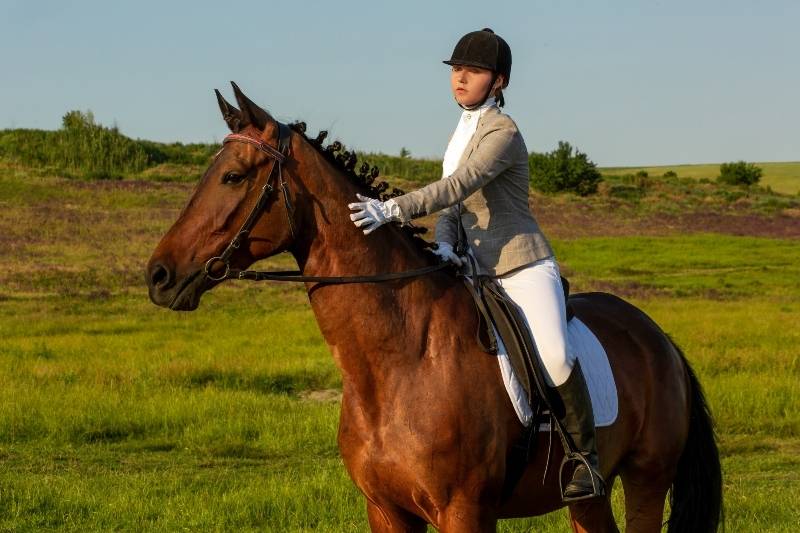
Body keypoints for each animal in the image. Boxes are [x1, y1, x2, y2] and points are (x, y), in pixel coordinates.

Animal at [145, 83, 724, 532]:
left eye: (234, 177)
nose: (158, 276)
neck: (399, 360)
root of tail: (659, 338)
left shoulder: (464, 511)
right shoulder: (386, 511)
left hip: (647, 478)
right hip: (590, 499)